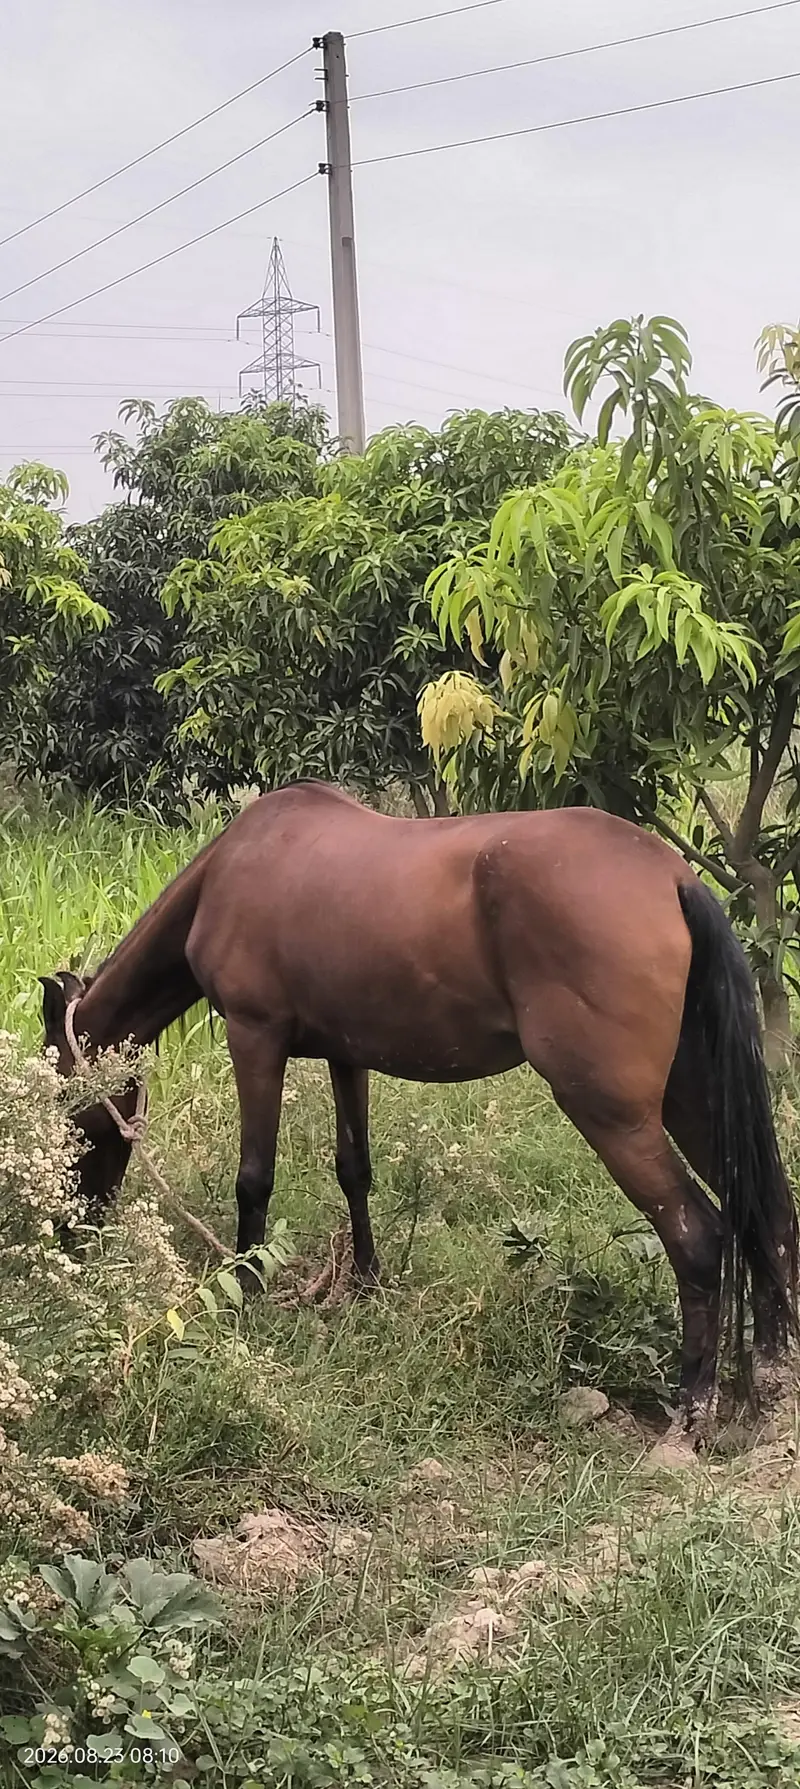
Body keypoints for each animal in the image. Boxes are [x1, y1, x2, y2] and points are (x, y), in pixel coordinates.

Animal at [39, 780, 798, 1447]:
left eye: (65, 1108)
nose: (69, 1233)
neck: (231, 868)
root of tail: (674, 879)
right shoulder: (346, 1055)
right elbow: (355, 1168)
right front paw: (367, 1282)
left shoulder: (255, 1038)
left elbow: (254, 1178)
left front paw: (248, 1292)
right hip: (693, 1100)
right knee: (768, 1215)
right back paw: (768, 1380)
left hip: (615, 1114)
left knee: (699, 1236)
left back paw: (691, 1410)